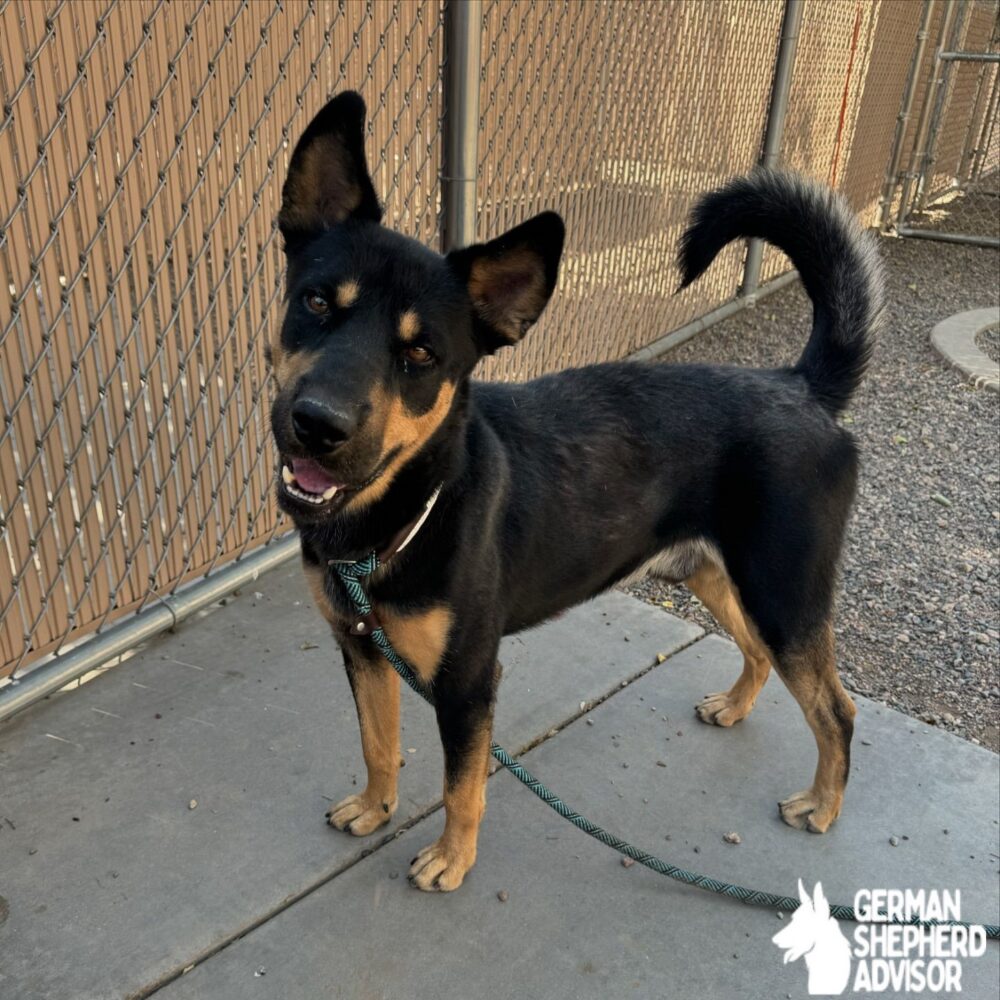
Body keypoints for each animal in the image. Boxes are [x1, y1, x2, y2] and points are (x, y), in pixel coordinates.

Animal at [268, 92, 884, 892]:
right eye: (316, 302)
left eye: (421, 353)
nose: (317, 426)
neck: (400, 517)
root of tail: (802, 385)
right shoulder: (363, 651)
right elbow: (379, 743)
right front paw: (375, 809)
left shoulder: (468, 681)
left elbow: (461, 786)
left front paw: (452, 859)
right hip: (714, 575)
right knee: (755, 652)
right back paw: (734, 706)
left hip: (786, 593)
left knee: (837, 710)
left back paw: (824, 805)